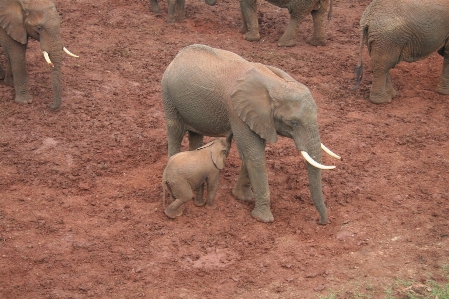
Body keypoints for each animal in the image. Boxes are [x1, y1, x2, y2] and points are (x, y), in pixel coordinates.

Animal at [161, 43, 340, 224]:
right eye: (293, 123)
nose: (321, 222)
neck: (276, 84)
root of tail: (178, 55)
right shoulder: (236, 110)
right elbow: (254, 153)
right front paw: (264, 219)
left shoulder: (259, 119)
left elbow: (249, 153)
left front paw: (242, 197)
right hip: (168, 94)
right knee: (175, 132)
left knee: (195, 135)